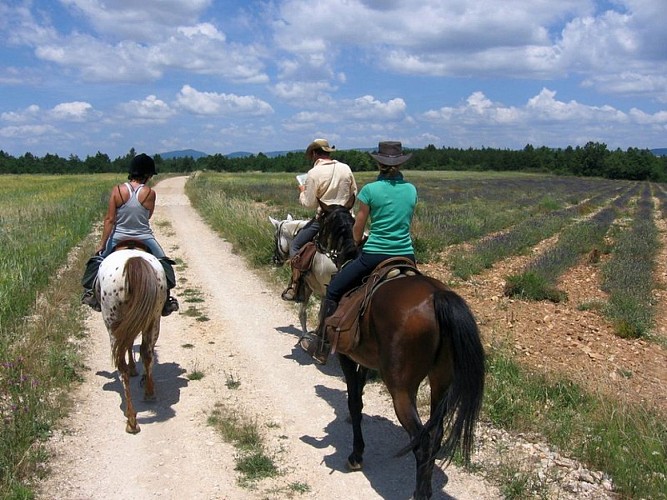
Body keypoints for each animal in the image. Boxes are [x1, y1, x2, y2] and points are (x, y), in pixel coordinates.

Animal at [96, 250, 167, 434]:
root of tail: (133, 260)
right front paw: (137, 371)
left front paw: (133, 368)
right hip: (153, 319)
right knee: (147, 353)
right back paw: (148, 394)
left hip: (113, 324)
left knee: (122, 366)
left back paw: (132, 420)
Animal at [316, 200, 488, 500]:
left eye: (323, 219)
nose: (315, 240)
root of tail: (437, 297)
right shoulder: (366, 361)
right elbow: (358, 396)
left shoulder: (348, 357)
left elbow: (355, 401)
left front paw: (356, 455)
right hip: (441, 380)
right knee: (436, 434)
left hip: (401, 388)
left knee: (422, 441)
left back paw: (420, 493)